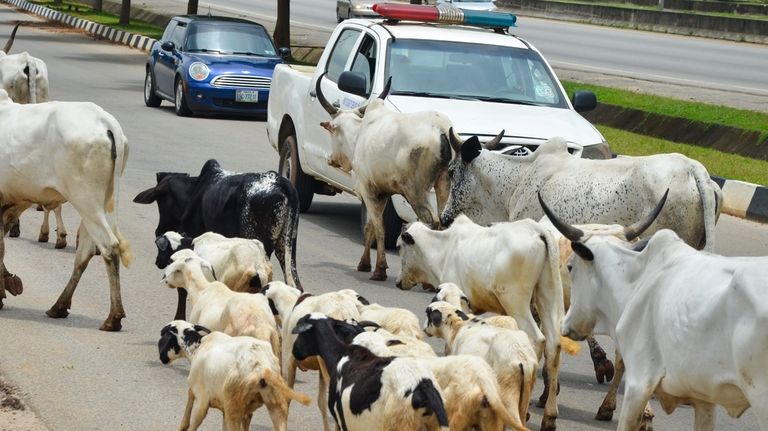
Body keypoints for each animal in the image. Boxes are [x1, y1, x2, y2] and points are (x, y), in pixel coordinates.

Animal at [0, 88, 131, 330]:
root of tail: (104, 121)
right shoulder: (14, 201)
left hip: (85, 200)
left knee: (109, 247)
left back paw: (113, 317)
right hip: (98, 203)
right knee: (85, 252)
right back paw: (59, 306)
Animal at [132, 159, 300, 320]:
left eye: (160, 201)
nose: (158, 231)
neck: (194, 192)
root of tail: (282, 182)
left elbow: (183, 289)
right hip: (286, 250)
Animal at [396, 216, 564, 431]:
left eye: (399, 246)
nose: (399, 283)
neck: (443, 247)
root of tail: (537, 229)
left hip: (515, 299)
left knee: (537, 339)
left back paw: (525, 411)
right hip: (546, 293)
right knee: (553, 346)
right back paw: (549, 416)